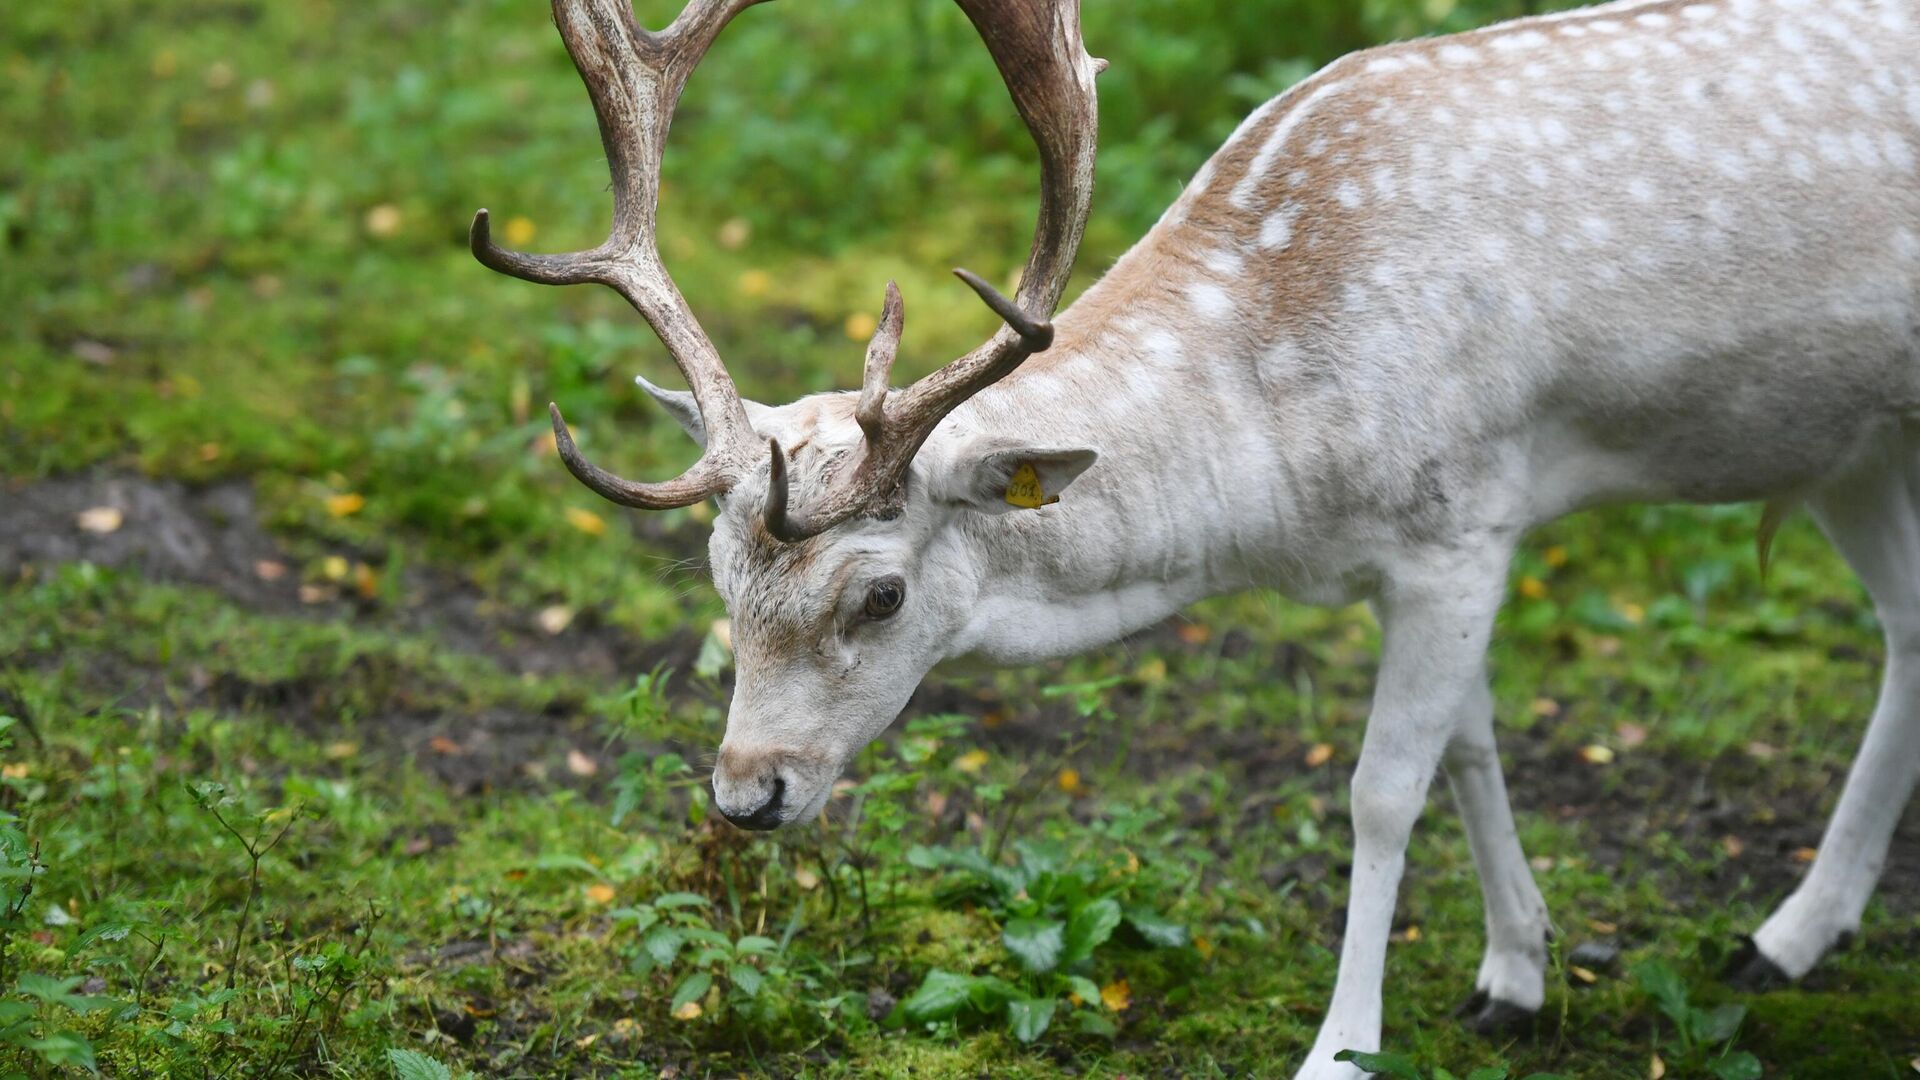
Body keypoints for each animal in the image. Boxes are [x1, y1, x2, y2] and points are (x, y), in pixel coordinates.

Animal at [476, 2, 1920, 1068]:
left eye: (878, 596)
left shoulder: (1464, 517)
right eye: (719, 575)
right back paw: (1789, 938)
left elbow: (1382, 787)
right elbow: (1470, 744)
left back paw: (1789, 929)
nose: (744, 794)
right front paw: (1514, 975)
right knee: (1909, 629)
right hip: (1851, 441)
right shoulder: (1439, 547)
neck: (1283, 486)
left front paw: (1342, 1049)